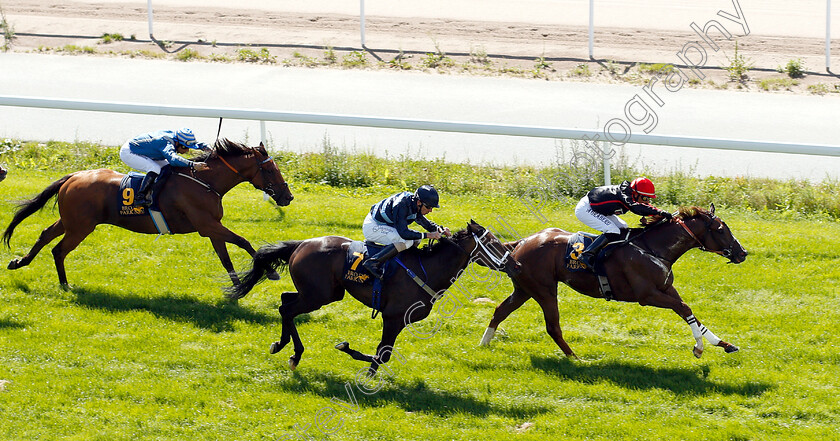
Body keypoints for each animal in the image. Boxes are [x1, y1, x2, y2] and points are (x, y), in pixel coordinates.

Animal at [3, 138, 294, 288]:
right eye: (270, 170)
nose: (287, 197)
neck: (204, 181)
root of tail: (74, 176)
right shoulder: (207, 224)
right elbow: (244, 241)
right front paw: (270, 271)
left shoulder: (212, 227)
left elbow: (226, 258)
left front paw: (237, 287)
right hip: (80, 226)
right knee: (59, 249)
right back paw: (65, 284)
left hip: (71, 221)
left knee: (45, 235)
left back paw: (19, 262)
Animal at [228, 218, 520, 372]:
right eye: (492, 242)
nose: (516, 263)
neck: (427, 269)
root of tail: (301, 244)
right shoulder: (392, 317)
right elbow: (382, 355)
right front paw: (349, 353)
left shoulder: (399, 321)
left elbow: (383, 354)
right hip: (319, 296)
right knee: (287, 309)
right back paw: (294, 353)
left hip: (321, 293)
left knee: (285, 300)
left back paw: (282, 344)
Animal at [480, 205, 748, 360]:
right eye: (721, 229)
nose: (742, 253)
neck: (652, 248)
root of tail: (522, 242)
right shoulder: (647, 295)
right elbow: (683, 308)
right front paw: (699, 348)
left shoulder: (665, 288)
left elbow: (689, 312)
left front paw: (723, 344)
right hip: (545, 291)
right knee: (552, 327)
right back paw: (575, 358)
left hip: (524, 289)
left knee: (500, 310)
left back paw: (484, 343)